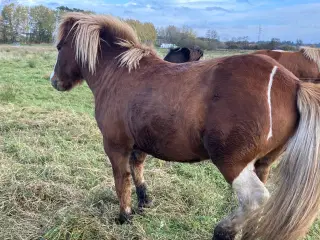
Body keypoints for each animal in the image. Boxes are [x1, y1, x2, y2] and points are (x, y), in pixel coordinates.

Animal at [50, 12, 320, 240]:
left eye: (60, 47)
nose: (55, 81)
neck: (121, 73)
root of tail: (294, 84)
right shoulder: (140, 143)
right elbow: (137, 171)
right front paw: (144, 203)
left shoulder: (115, 146)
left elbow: (121, 181)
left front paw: (124, 216)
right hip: (262, 164)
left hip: (233, 163)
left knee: (256, 199)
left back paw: (223, 230)